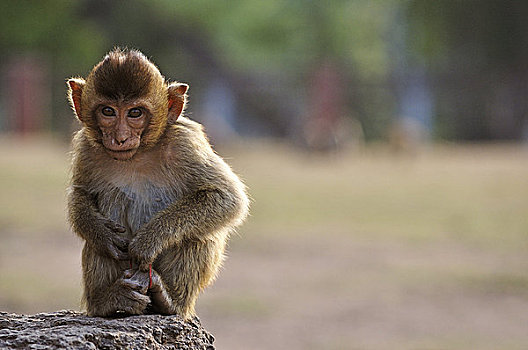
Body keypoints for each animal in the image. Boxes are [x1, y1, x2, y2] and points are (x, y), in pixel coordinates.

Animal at [66, 49, 250, 320]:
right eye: (108, 111)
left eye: (135, 113)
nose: (120, 138)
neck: (140, 153)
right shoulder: (88, 148)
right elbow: (81, 193)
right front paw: (100, 231)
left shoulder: (184, 143)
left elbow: (226, 197)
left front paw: (149, 241)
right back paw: (106, 301)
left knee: (197, 236)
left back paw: (169, 301)